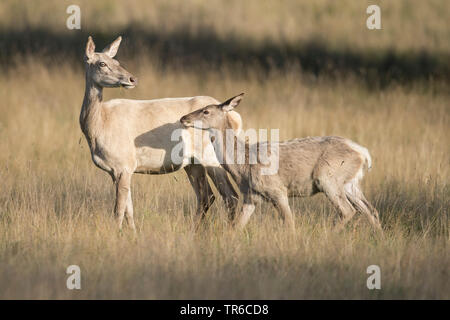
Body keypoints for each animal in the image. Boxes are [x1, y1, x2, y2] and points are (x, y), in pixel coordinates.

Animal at [81, 35, 243, 230]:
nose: (132, 79)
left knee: (231, 196)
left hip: (212, 157)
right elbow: (129, 210)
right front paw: (133, 233)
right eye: (102, 63)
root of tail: (235, 117)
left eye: (117, 61)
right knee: (206, 197)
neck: (100, 127)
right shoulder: (118, 170)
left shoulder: (124, 164)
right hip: (192, 163)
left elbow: (118, 211)